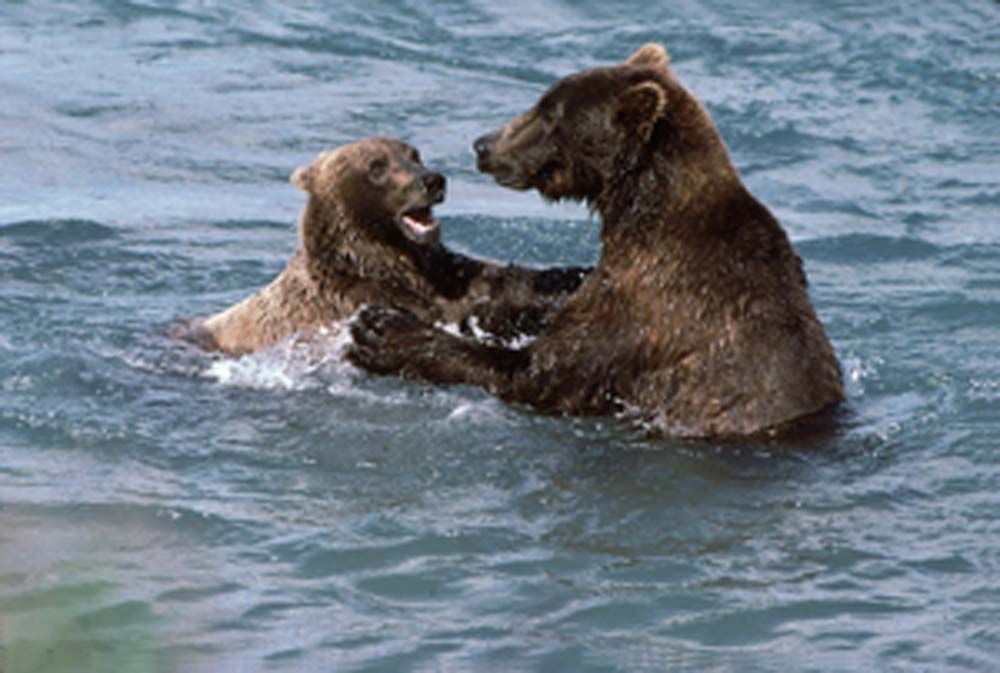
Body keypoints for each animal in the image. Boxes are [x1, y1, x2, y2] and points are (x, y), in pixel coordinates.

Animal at [178, 137, 588, 356]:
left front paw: (568, 277)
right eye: (376, 166)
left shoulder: (442, 270)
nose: (432, 180)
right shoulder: (358, 297)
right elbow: (464, 315)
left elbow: (494, 282)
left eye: (413, 154)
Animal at [347, 45, 846, 439]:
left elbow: (543, 371)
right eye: (543, 100)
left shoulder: (653, 301)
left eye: (550, 112)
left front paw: (382, 330)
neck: (640, 213)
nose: (483, 145)